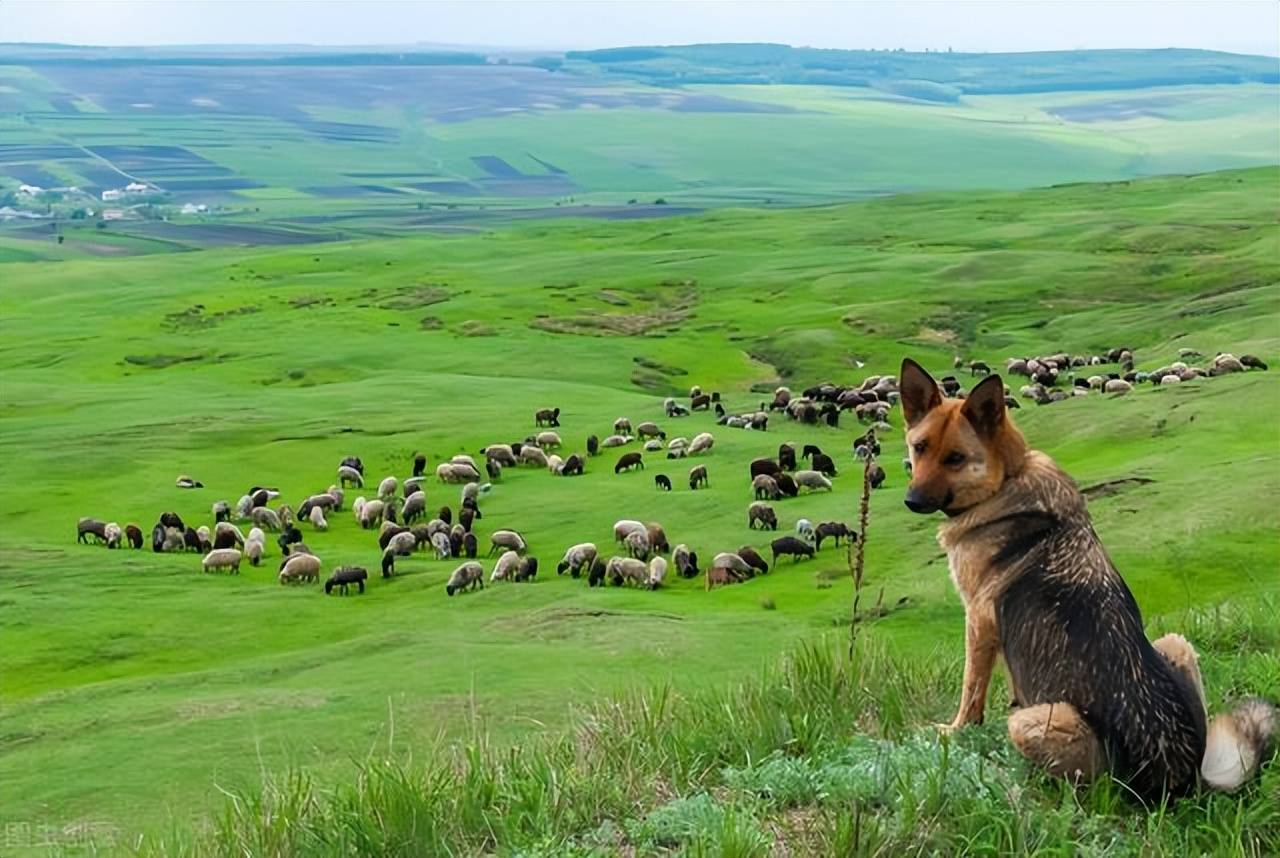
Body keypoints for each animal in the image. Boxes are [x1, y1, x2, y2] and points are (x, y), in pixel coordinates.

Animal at [896, 358, 1274, 804]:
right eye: (919, 448)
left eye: (955, 458)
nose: (912, 501)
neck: (1008, 477)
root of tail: (1179, 780)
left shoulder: (979, 622)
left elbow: (971, 692)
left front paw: (953, 731)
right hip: (1175, 644)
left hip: (1034, 725)